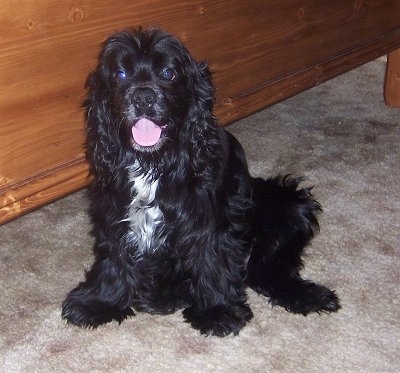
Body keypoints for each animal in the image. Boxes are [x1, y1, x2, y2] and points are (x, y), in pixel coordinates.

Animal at [61, 28, 340, 338]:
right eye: (120, 73)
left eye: (169, 72)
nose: (143, 97)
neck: (154, 162)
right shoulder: (113, 213)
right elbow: (114, 259)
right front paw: (100, 302)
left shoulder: (207, 219)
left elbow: (210, 259)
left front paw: (217, 311)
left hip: (286, 204)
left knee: (268, 268)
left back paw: (308, 295)